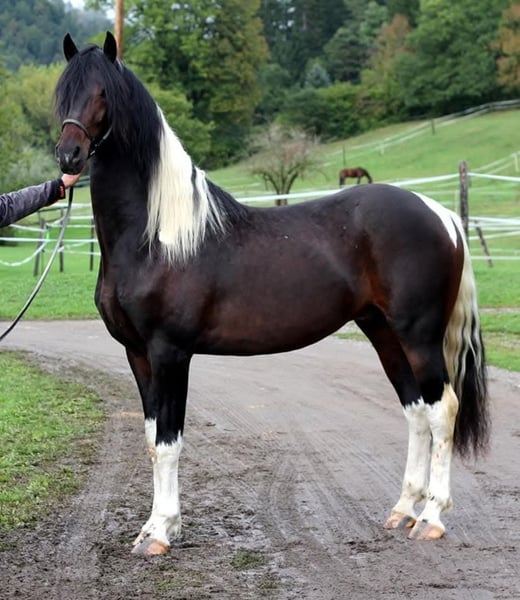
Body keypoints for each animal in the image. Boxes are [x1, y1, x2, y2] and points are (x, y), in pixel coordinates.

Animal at [54, 33, 489, 556]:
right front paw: (153, 527)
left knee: (443, 410)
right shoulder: (137, 354)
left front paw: (160, 533)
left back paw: (431, 518)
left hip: (419, 335)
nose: (68, 156)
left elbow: (169, 442)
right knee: (417, 412)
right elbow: (152, 439)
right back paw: (403, 509)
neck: (157, 235)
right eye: (63, 91)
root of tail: (441, 214)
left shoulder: (169, 352)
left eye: (103, 94)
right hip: (384, 333)